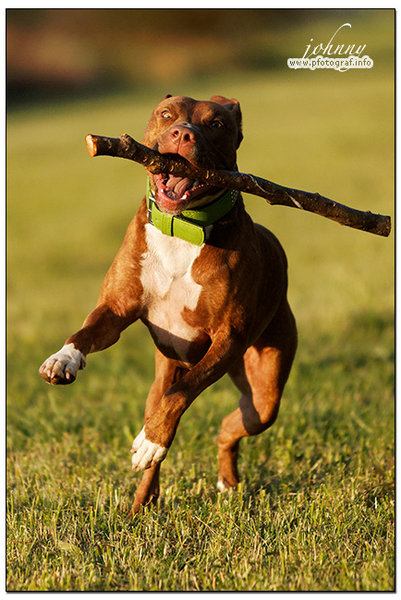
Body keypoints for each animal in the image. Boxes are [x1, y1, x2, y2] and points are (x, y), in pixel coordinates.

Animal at [39, 96, 296, 512]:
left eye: (216, 123)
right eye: (166, 115)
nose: (182, 133)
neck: (184, 229)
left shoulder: (228, 339)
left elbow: (182, 394)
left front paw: (154, 439)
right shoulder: (115, 311)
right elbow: (86, 331)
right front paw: (63, 359)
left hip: (263, 387)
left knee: (231, 425)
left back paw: (217, 476)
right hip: (161, 379)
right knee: (169, 427)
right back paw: (142, 501)